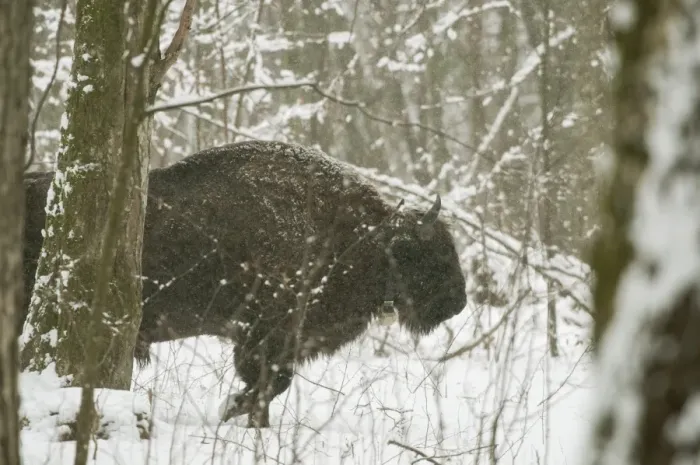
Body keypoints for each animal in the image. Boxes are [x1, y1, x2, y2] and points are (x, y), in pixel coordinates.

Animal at [22, 140, 467, 427]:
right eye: (433, 253)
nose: (458, 302)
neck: (359, 236)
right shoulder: (263, 336)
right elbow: (271, 382)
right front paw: (235, 411)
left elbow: (272, 384)